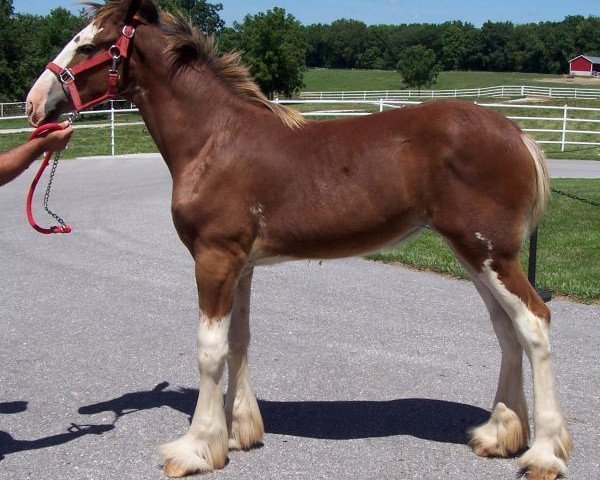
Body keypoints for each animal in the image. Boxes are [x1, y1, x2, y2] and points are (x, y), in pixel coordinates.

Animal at [27, 1, 572, 478]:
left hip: (489, 252)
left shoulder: (214, 257)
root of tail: (517, 134)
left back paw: (544, 454)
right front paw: (238, 432)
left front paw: (195, 449)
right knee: (506, 329)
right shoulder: (241, 264)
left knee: (533, 323)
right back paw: (499, 435)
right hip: (475, 254)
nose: (33, 104)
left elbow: (209, 348)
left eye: (89, 44)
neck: (215, 140)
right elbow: (239, 340)